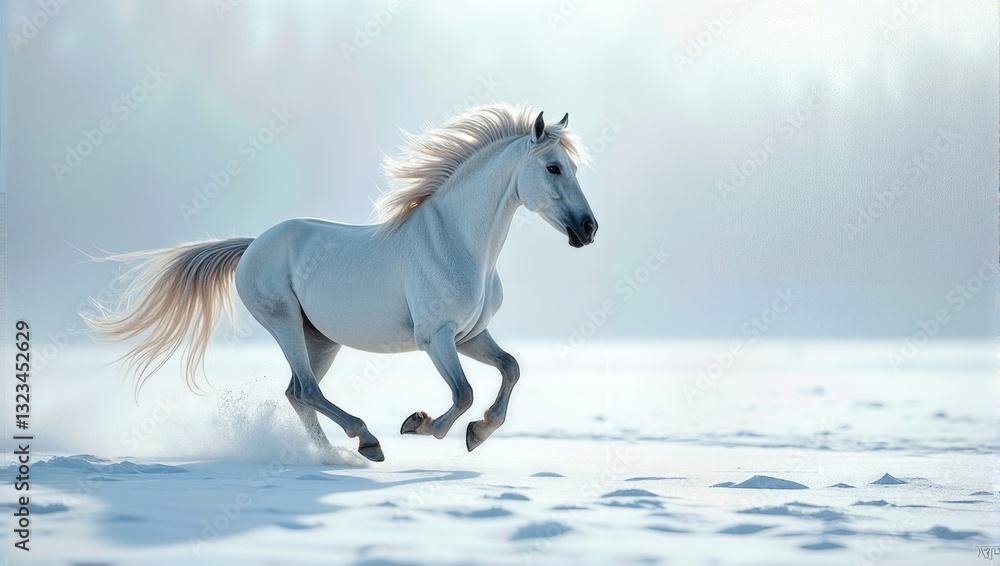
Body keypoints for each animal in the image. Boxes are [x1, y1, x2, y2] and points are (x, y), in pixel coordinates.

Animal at [84, 104, 598, 462]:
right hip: (285, 324)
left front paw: (479, 431)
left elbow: (511, 368)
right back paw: (366, 441)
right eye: (553, 167)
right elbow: (464, 393)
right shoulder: (435, 337)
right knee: (307, 391)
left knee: (296, 393)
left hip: (321, 339)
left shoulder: (471, 335)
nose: (588, 229)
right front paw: (419, 424)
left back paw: (332, 455)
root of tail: (253, 246)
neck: (457, 240)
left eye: (574, 168)